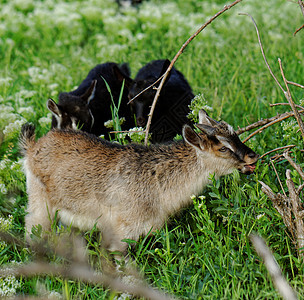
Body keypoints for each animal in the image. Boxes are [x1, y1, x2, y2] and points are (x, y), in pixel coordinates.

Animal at [19, 110, 258, 255]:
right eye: (223, 148)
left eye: (236, 136)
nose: (252, 156)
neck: (158, 183)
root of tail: (32, 147)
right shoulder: (123, 231)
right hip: (41, 203)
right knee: (32, 225)